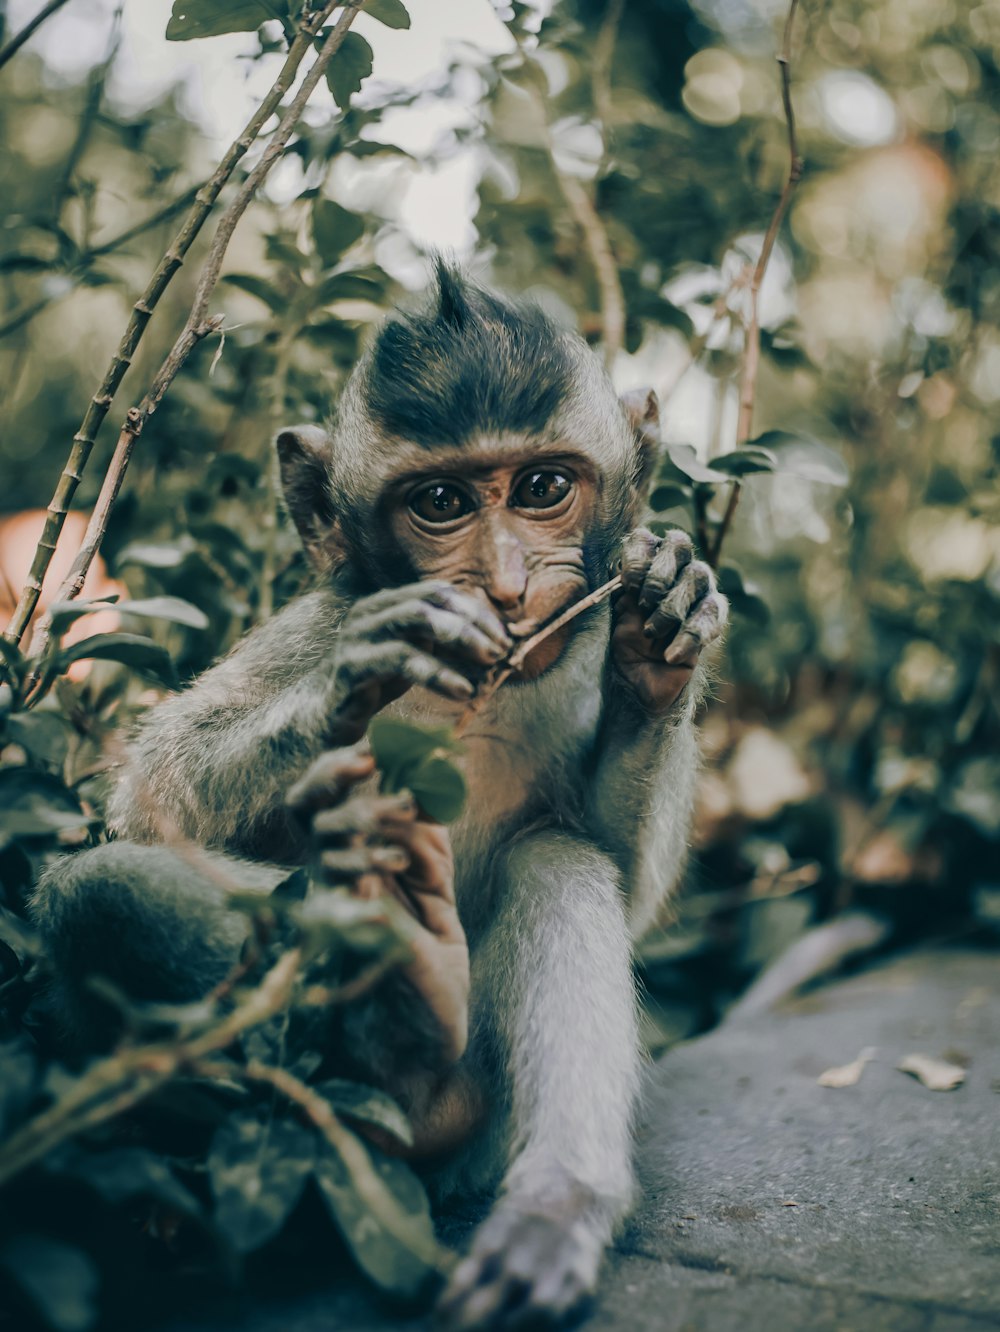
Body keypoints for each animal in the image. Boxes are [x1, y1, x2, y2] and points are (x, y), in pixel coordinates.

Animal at [31, 265, 729, 1326]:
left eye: (543, 488)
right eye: (440, 501)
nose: (507, 586)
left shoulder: (585, 636)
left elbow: (615, 862)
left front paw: (667, 629)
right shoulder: (323, 614)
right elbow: (151, 793)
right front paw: (364, 674)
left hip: (480, 1134)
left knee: (554, 858)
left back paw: (545, 1191)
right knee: (99, 892)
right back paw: (393, 1006)